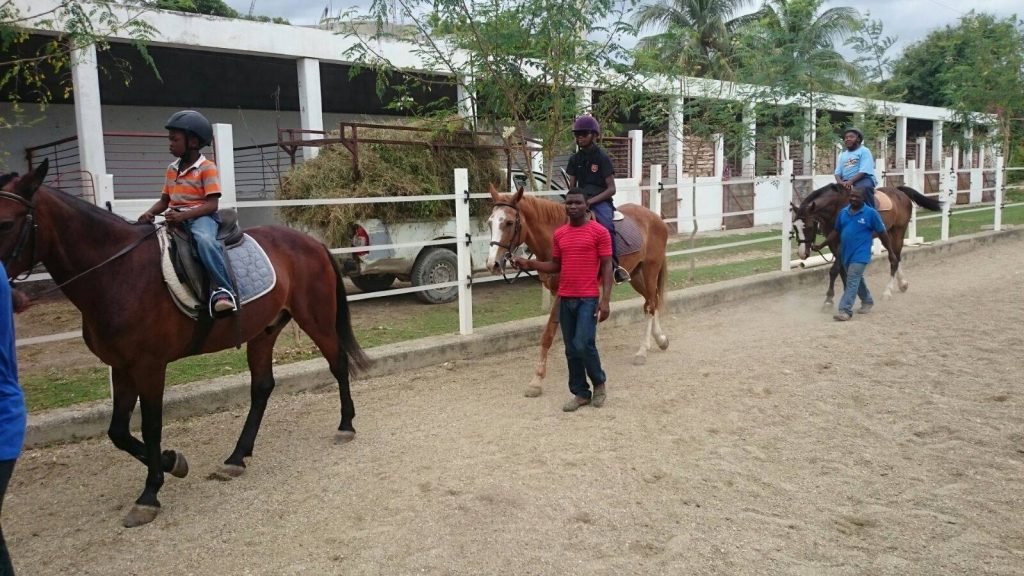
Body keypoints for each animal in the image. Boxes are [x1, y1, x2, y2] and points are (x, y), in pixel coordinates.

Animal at [0, 159, 368, 524]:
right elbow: (118, 431)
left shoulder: (149, 367)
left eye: (5, 222)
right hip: (263, 331)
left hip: (315, 319)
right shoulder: (121, 367)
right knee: (262, 387)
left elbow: (151, 425)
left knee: (337, 363)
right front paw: (171, 462)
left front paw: (150, 493)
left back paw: (346, 425)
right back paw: (236, 457)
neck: (118, 272)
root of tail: (311, 243)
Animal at [485, 186, 671, 397]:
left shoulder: (563, 294)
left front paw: (537, 380)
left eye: (509, 223)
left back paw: (642, 351)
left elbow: (548, 334)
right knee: (652, 301)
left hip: (650, 270)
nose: (492, 264)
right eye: (490, 222)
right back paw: (660, 340)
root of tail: (655, 218)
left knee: (650, 305)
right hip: (637, 275)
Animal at [790, 182, 942, 305]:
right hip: (886, 233)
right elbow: (842, 270)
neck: (836, 208)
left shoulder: (843, 243)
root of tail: (899, 192)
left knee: (894, 259)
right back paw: (902, 284)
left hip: (898, 232)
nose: (802, 253)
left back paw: (888, 291)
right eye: (795, 228)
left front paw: (829, 299)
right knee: (896, 257)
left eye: (809, 227)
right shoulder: (833, 243)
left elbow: (834, 270)